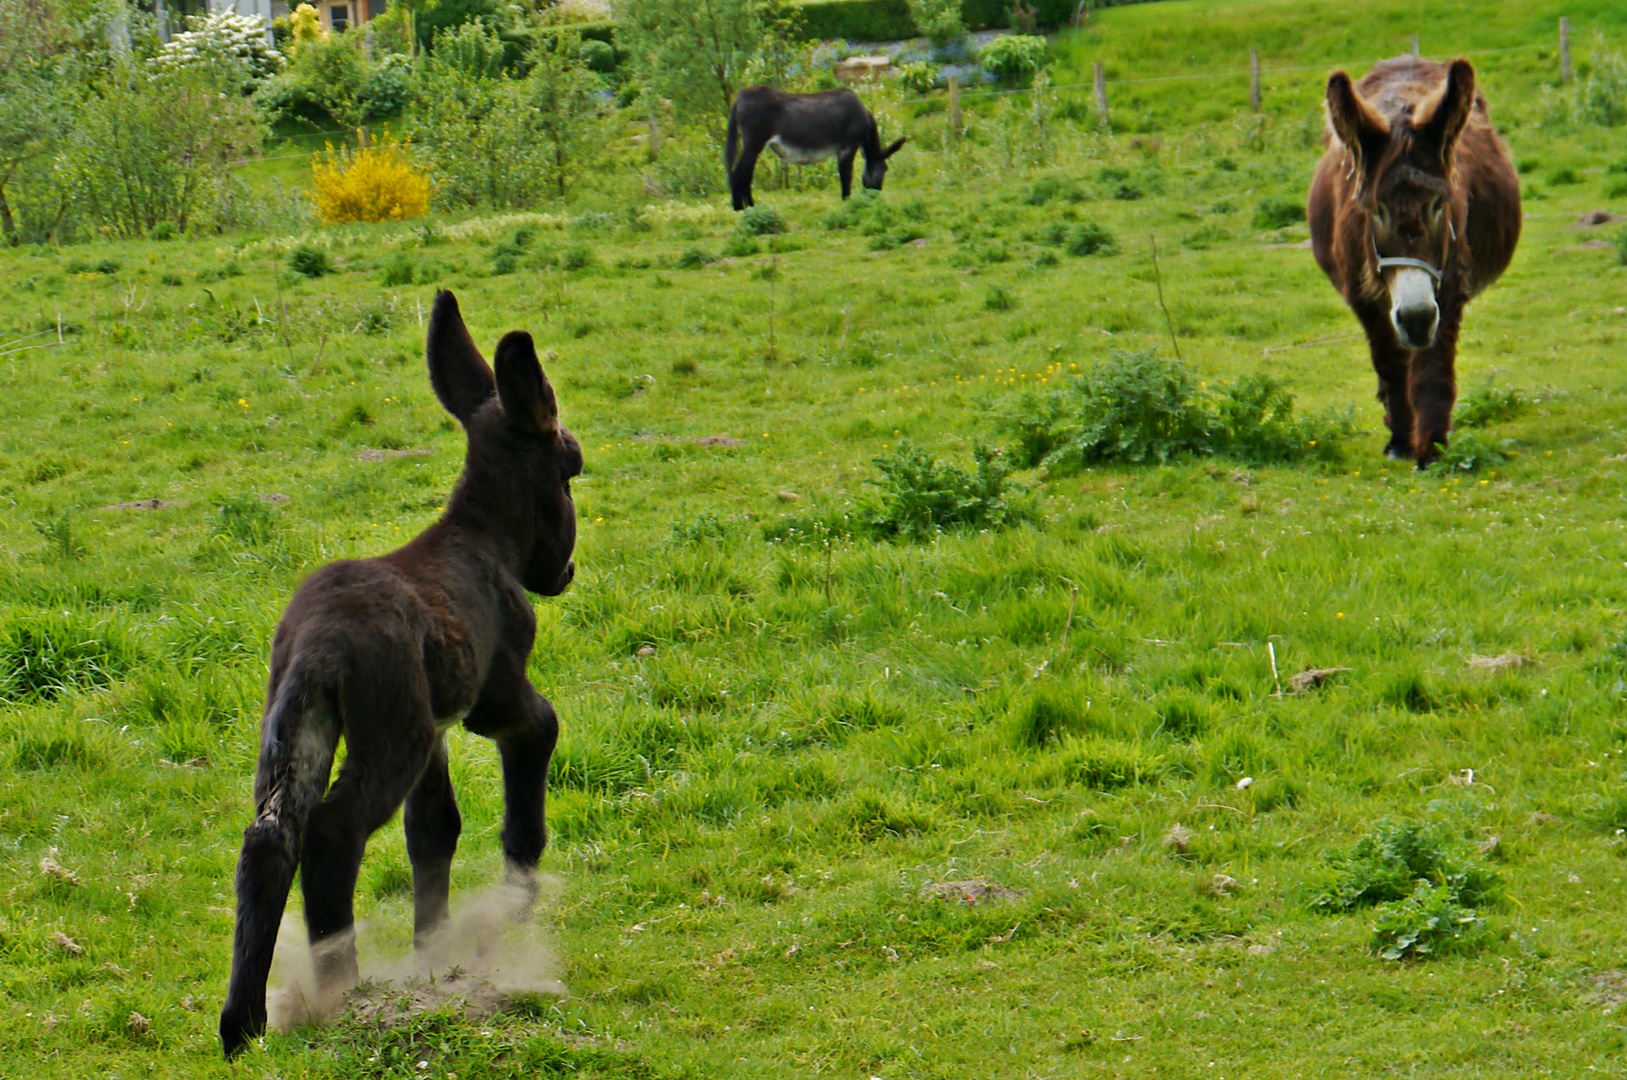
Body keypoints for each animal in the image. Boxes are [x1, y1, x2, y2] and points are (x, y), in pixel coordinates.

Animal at [219, 291, 582, 1060]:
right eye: (571, 468)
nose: (563, 572)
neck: (487, 540)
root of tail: (320, 645)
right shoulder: (489, 700)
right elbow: (535, 751)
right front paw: (516, 911)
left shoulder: (438, 731)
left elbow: (433, 831)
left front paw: (432, 953)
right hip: (391, 731)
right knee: (333, 831)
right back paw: (341, 993)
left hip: (299, 725)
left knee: (270, 836)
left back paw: (244, 1023)